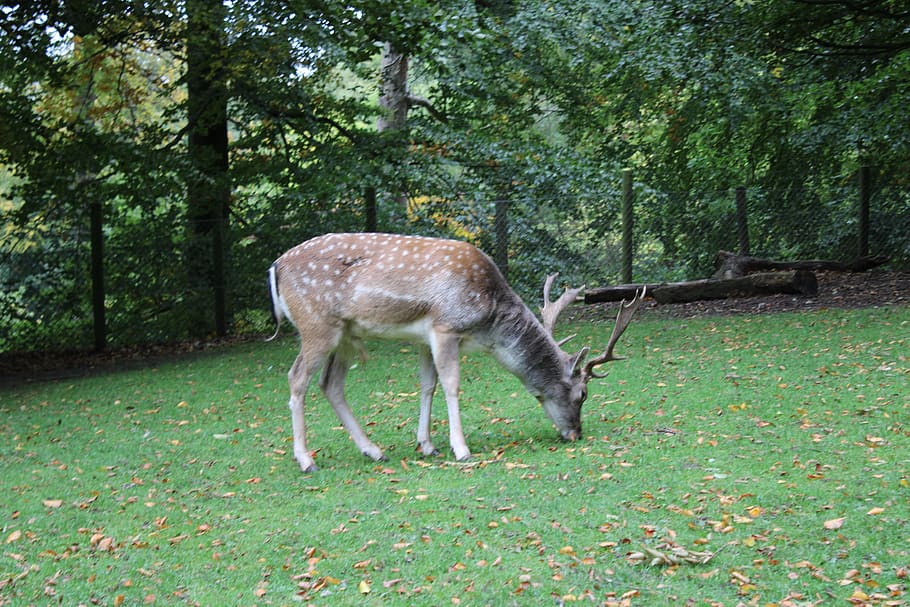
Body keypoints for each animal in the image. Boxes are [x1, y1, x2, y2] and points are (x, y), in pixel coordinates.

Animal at [267, 232, 645, 472]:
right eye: (582, 394)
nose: (576, 434)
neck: (488, 325)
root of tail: (276, 267)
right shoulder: (445, 327)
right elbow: (451, 384)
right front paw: (460, 449)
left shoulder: (424, 337)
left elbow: (427, 385)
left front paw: (427, 444)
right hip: (317, 325)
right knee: (296, 378)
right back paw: (307, 460)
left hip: (345, 334)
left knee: (330, 384)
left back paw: (373, 450)